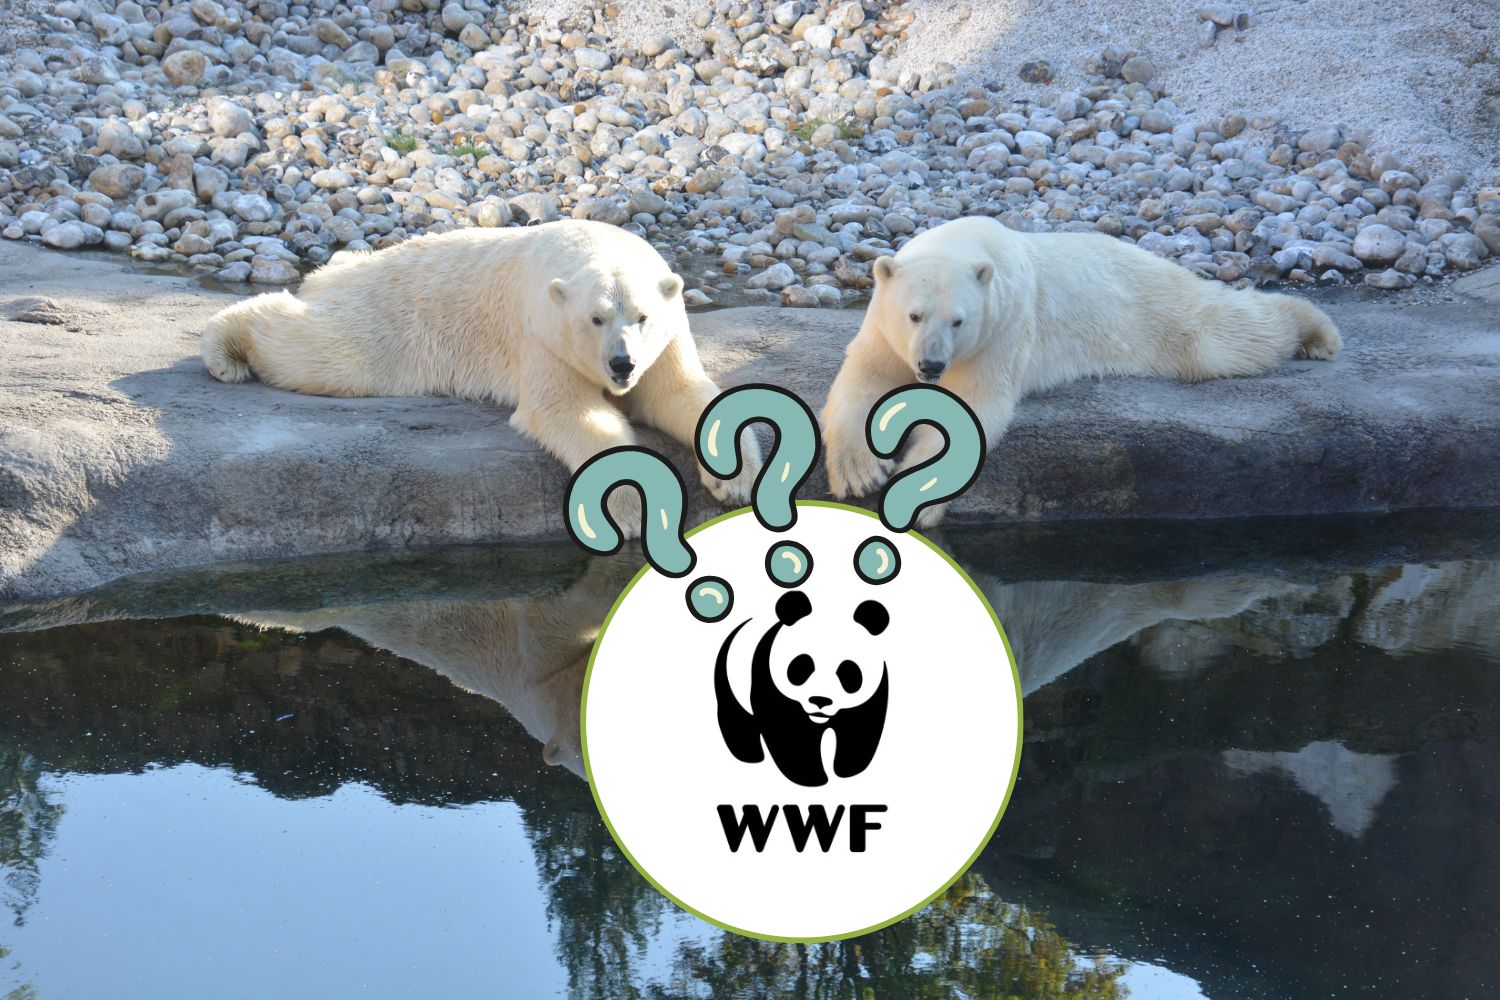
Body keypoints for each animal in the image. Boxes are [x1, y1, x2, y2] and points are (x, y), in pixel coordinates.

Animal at [201, 219, 761, 529]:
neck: (595, 244)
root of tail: (335, 269)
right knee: (324, 351)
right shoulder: (543, 334)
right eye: (595, 319)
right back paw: (224, 349)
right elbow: (568, 410)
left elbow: (679, 394)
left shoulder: (666, 341)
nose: (621, 364)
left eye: (641, 317)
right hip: (388, 320)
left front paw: (735, 482)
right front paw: (635, 504)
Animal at [714, 589, 891, 787]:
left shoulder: (873, 693)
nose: (820, 700)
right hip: (728, 676)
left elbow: (860, 726)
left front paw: (847, 770)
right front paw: (812, 778)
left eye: (849, 672)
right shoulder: (769, 682)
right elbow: (790, 732)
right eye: (802, 667)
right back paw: (750, 756)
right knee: (735, 716)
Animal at [821, 216, 1342, 527]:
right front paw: (861, 473)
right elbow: (864, 379)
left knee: (1223, 336)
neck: (967, 245)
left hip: (1157, 307)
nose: (930, 365)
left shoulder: (1003, 327)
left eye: (959, 321)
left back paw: (1316, 332)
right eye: (913, 315)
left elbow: (974, 406)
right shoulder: (884, 329)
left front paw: (914, 494)